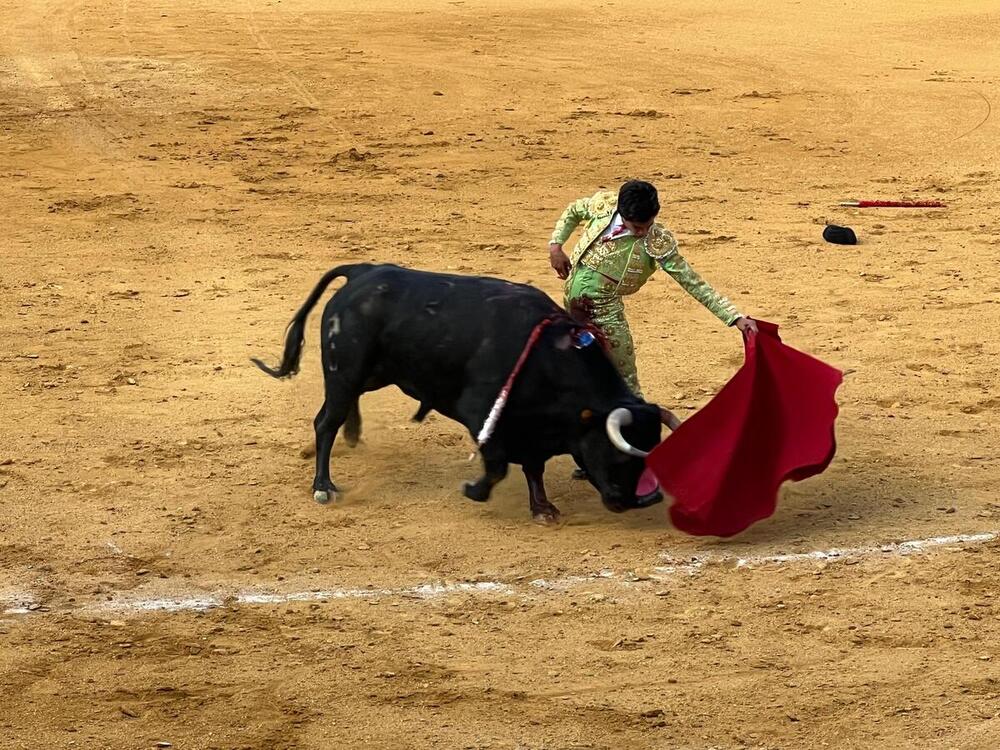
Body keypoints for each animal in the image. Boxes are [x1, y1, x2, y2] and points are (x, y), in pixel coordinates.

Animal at [250, 262, 676, 524]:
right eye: (618, 454)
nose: (643, 500)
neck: (549, 357)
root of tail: (362, 272)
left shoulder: (532, 426)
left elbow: (533, 467)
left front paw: (542, 508)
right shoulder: (482, 413)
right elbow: (500, 464)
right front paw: (474, 489)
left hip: (373, 373)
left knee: (342, 409)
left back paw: (352, 435)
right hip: (345, 371)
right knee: (326, 421)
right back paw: (324, 486)